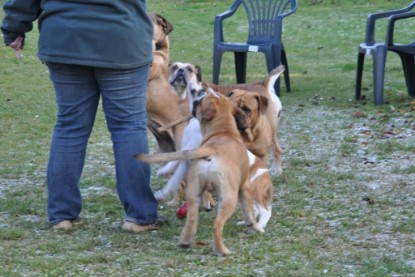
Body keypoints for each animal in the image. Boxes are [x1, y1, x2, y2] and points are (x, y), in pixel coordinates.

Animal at [138, 87, 264, 256]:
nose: (200, 91)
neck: (223, 131)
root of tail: (211, 150)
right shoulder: (244, 187)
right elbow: (249, 211)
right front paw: (256, 227)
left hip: (193, 193)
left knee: (191, 218)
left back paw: (184, 241)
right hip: (229, 197)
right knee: (217, 225)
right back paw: (222, 250)